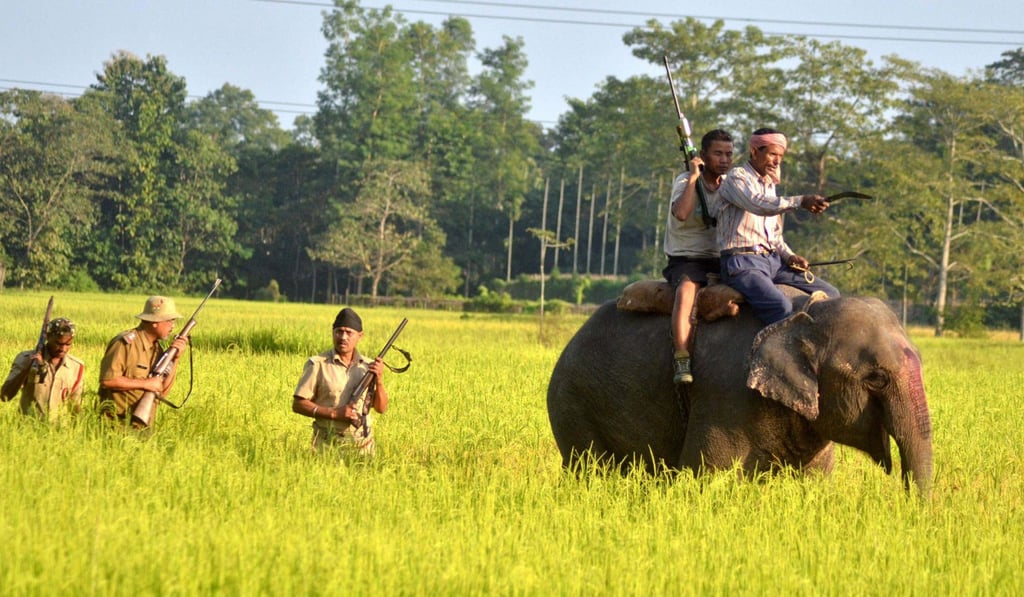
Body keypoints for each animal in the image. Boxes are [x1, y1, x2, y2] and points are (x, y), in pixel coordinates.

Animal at [546, 286, 933, 496]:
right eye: (876, 378)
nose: (916, 513)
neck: (806, 314)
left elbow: (814, 483)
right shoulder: (725, 396)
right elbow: (704, 477)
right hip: (573, 401)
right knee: (589, 467)